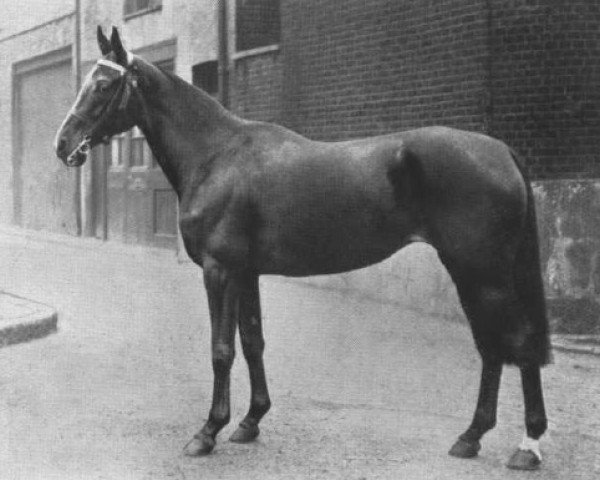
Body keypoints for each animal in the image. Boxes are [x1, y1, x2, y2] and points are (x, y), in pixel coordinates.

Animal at [54, 25, 552, 468]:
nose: (62, 145)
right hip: (470, 272)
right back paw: (471, 437)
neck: (216, 154)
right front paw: (250, 422)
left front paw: (208, 431)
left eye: (103, 84)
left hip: (483, 273)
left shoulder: (219, 271)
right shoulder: (246, 273)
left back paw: (526, 447)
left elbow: (221, 349)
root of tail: (501, 151)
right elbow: (253, 342)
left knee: (518, 344)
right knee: (492, 347)